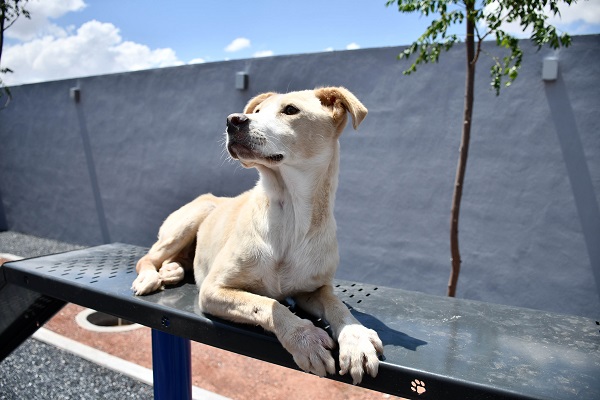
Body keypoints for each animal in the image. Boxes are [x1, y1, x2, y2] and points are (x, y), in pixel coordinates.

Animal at [132, 86, 384, 384]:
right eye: (257, 111)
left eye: (290, 110)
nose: (232, 120)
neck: (289, 216)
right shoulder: (213, 289)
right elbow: (265, 303)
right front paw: (305, 338)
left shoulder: (313, 289)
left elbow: (336, 304)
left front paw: (356, 339)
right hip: (190, 219)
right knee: (146, 259)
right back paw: (150, 277)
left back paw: (172, 270)